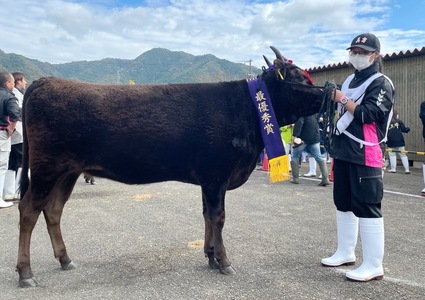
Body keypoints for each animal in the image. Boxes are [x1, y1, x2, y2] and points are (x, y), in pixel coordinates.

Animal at [14, 48, 322, 288]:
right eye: (297, 78)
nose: (325, 94)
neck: (245, 108)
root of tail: (44, 81)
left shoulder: (209, 180)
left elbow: (207, 216)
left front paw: (210, 255)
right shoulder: (216, 176)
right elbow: (219, 217)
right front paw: (224, 261)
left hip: (67, 172)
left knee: (53, 210)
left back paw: (65, 259)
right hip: (45, 169)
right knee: (29, 210)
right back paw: (26, 273)